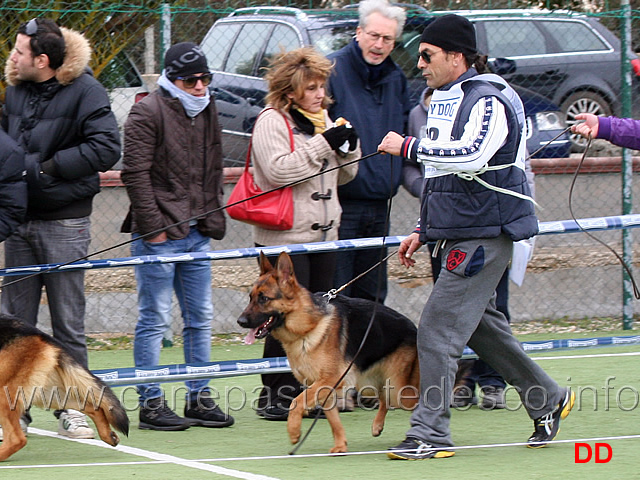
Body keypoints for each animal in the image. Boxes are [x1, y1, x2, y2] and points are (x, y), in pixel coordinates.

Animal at [0, 316, 130, 462]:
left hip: (6, 394)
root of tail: (39, 334)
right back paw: (107, 435)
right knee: (93, 408)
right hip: (47, 394)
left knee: (17, 439)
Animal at [238, 251, 422, 454]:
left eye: (264, 298)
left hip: (400, 391)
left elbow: (296, 402)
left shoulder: (328, 380)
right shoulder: (323, 387)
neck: (307, 327)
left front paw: (294, 431)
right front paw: (341, 445)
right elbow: (333, 420)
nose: (240, 321)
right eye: (251, 297)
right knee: (384, 398)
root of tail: (414, 328)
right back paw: (377, 426)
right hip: (369, 384)